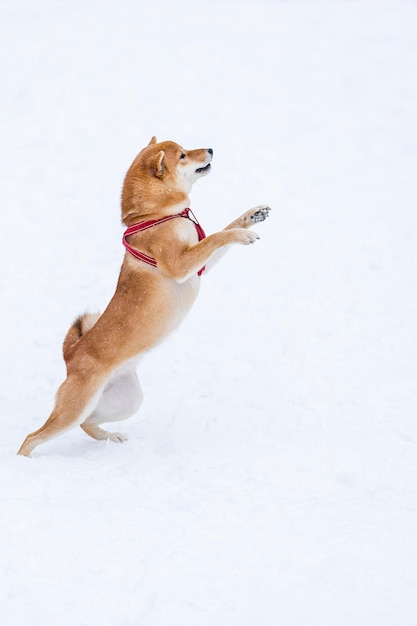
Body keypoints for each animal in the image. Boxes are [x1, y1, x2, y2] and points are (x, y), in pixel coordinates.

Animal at [17, 136, 270, 454]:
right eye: (183, 155)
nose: (211, 149)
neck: (157, 215)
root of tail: (71, 355)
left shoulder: (199, 266)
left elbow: (225, 228)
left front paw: (253, 215)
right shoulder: (179, 264)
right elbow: (217, 236)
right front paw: (243, 235)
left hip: (127, 400)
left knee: (87, 424)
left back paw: (110, 438)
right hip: (75, 407)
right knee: (32, 437)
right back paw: (24, 459)